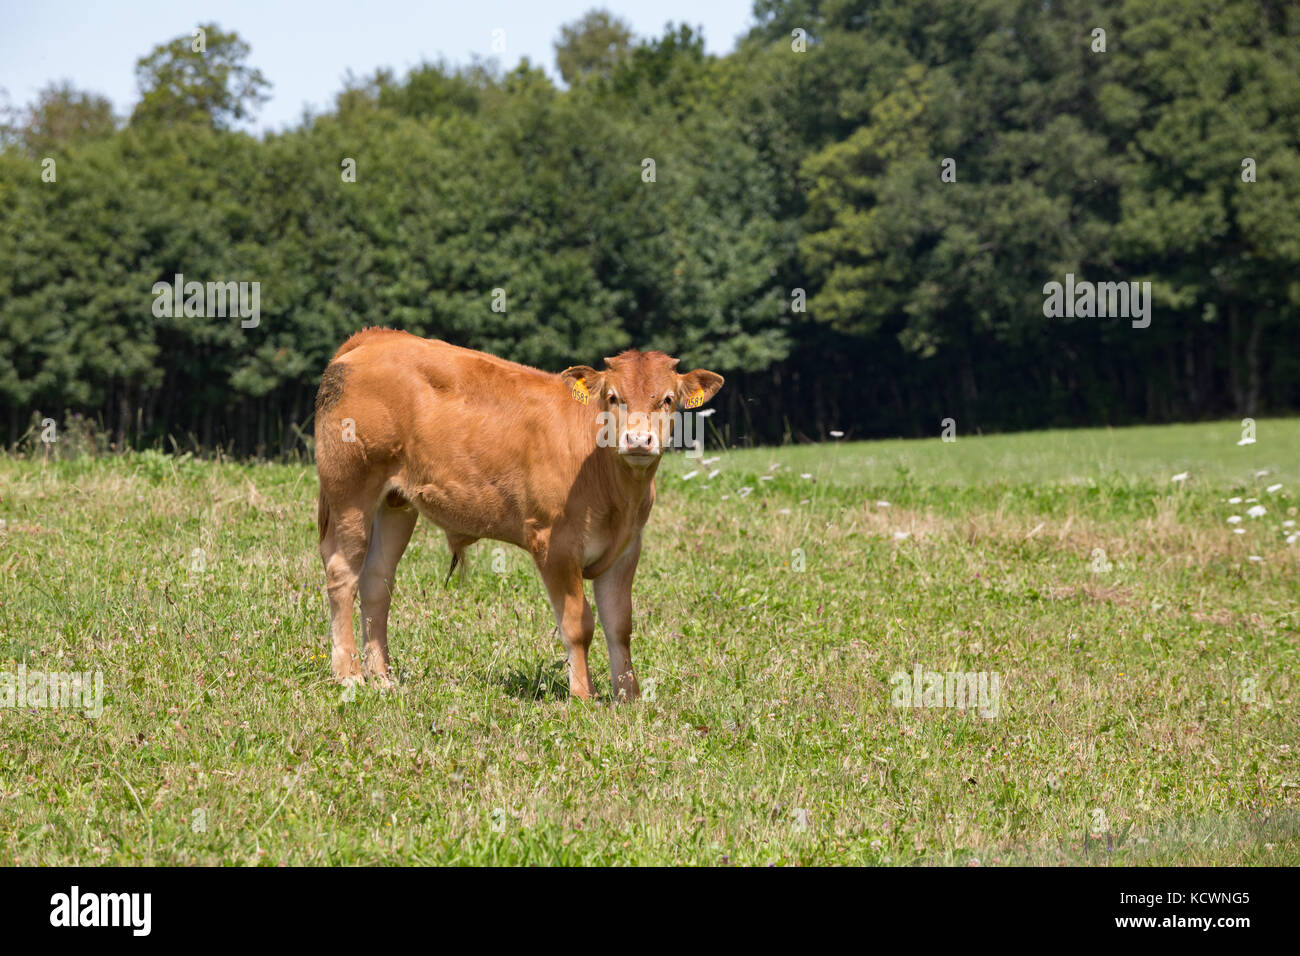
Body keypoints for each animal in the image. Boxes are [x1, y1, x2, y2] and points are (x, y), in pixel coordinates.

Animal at [313, 329, 724, 701]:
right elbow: (578, 624)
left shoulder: (626, 548)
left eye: (667, 399)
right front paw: (583, 695)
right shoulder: (555, 544)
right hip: (351, 492)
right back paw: (349, 675)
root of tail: (374, 338)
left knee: (376, 580)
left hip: (395, 504)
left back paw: (382, 677)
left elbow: (619, 625)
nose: (638, 441)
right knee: (342, 575)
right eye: (613, 397)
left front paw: (630, 697)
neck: (612, 485)